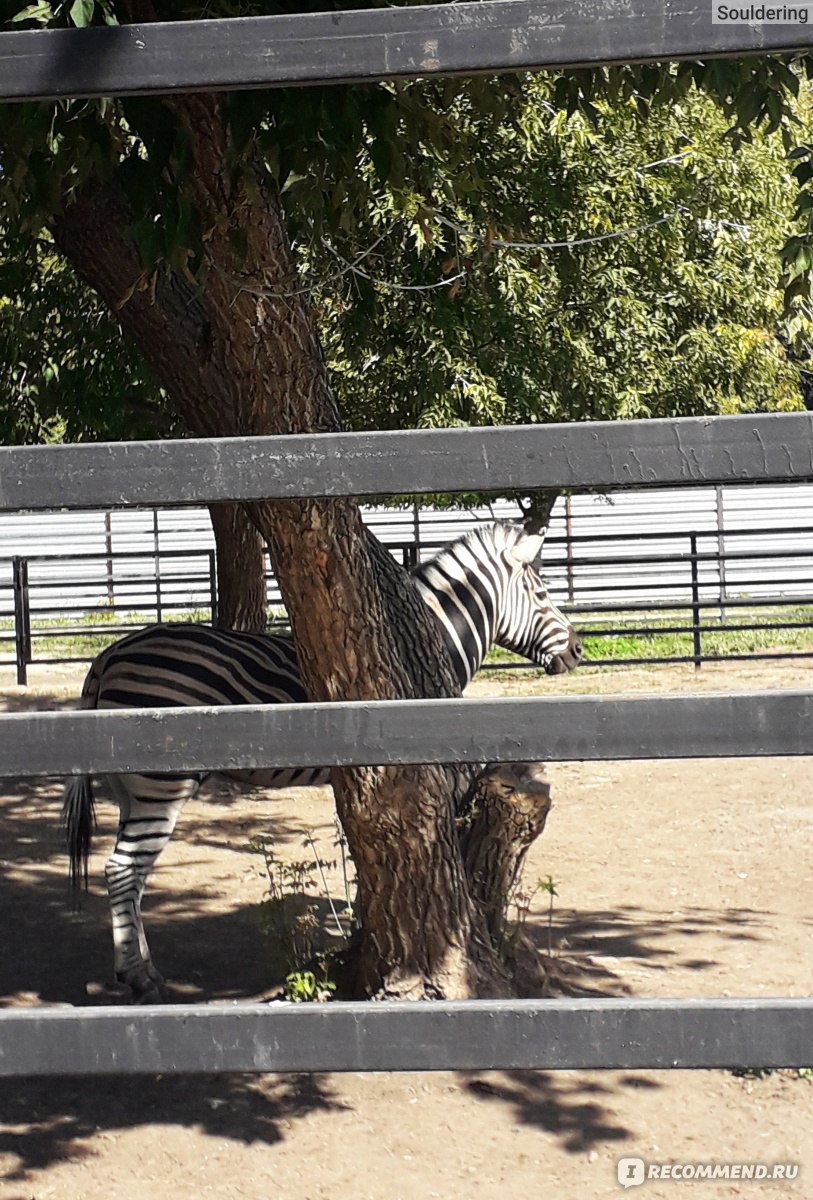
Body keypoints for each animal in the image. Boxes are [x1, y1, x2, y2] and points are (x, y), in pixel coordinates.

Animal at [65, 520, 585, 998]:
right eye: (542, 593)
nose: (578, 651)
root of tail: (109, 655)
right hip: (160, 784)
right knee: (122, 869)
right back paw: (138, 977)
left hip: (131, 788)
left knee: (131, 874)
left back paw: (140, 968)